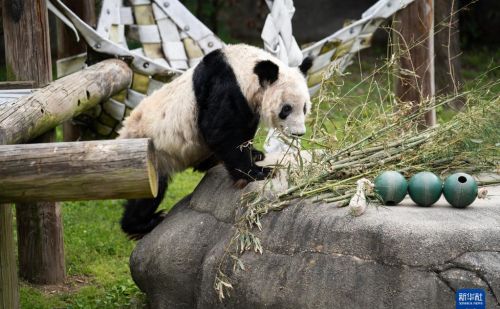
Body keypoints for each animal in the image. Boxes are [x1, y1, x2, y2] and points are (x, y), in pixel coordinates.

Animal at [117, 43, 312, 238]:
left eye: (304, 108)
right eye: (286, 109)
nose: (299, 133)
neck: (242, 67)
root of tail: (123, 134)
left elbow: (243, 130)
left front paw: (255, 154)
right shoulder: (224, 85)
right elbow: (220, 131)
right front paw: (259, 172)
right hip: (150, 152)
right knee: (148, 192)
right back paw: (143, 223)